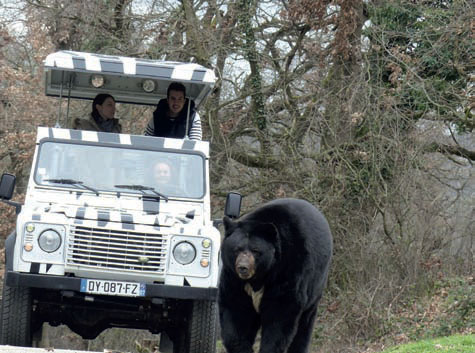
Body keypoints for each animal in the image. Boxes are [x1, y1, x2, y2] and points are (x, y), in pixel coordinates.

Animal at [218, 198, 332, 352]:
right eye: (237, 249)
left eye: (255, 250)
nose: (243, 268)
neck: (260, 276)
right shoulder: (233, 279)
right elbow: (236, 311)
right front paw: (243, 347)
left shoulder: (288, 272)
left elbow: (280, 315)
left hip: (315, 286)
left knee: (304, 325)